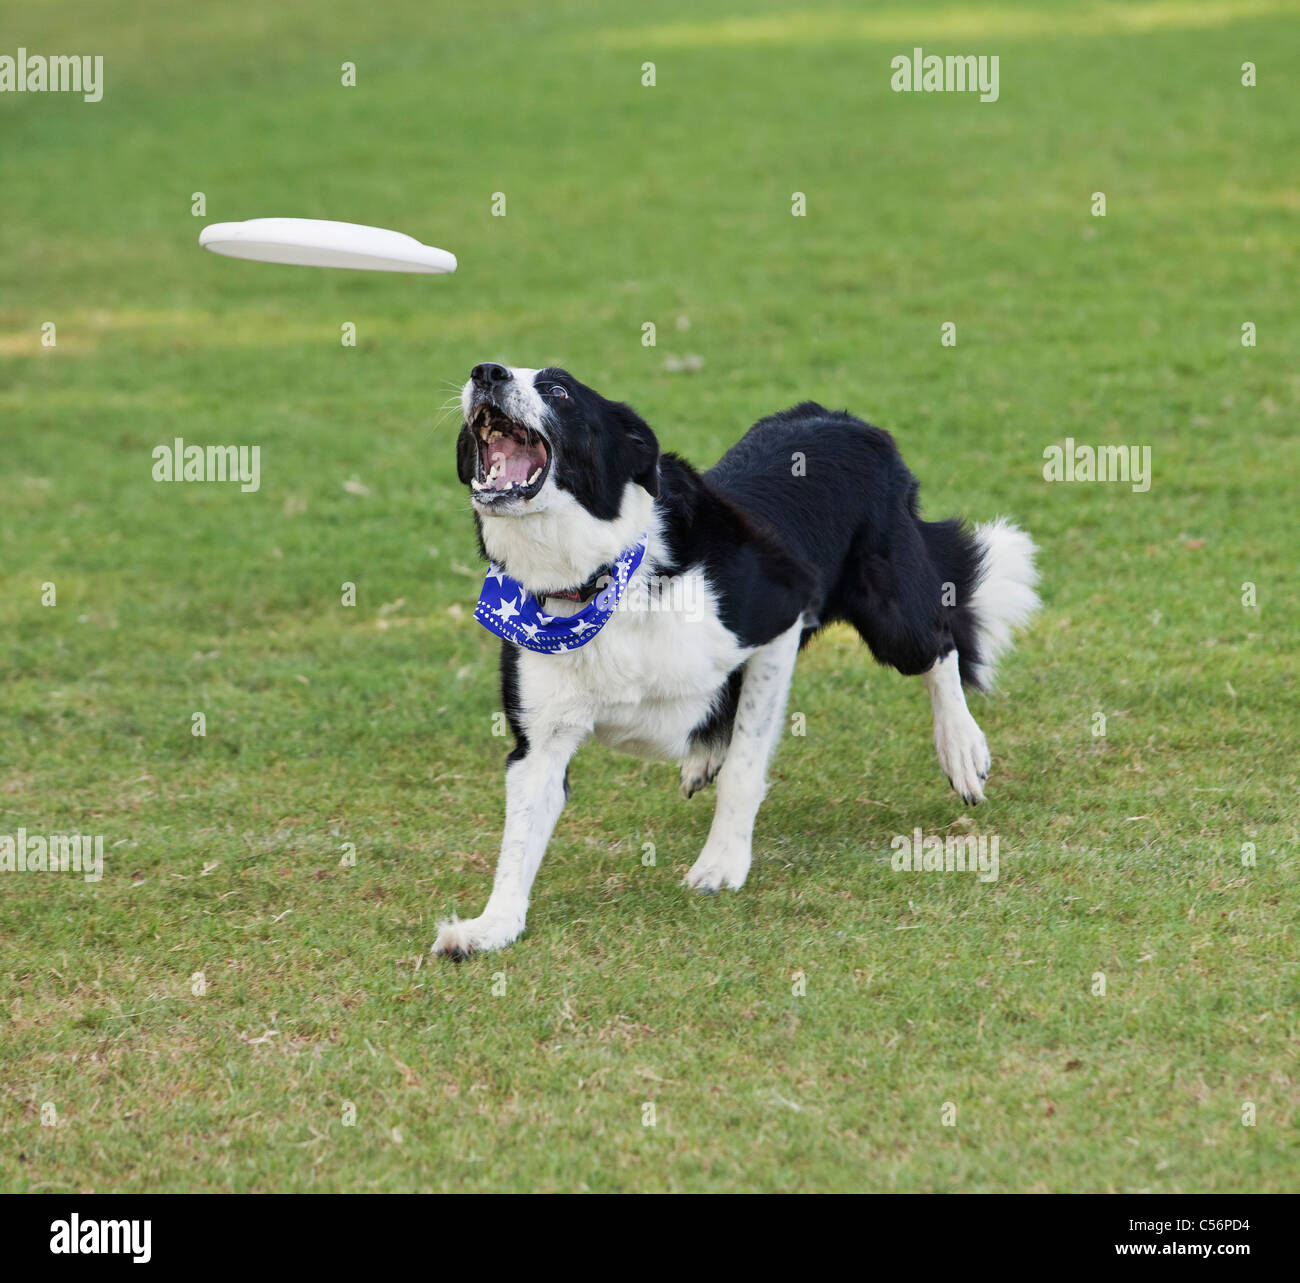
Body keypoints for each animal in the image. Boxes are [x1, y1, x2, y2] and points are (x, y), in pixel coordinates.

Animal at [431, 361, 1040, 951]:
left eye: (558, 390)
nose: (486, 373)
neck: (600, 585)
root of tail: (844, 419)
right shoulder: (538, 743)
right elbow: (519, 839)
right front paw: (492, 927)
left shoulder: (779, 618)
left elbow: (746, 763)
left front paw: (721, 864)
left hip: (892, 613)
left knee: (940, 645)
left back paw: (961, 748)